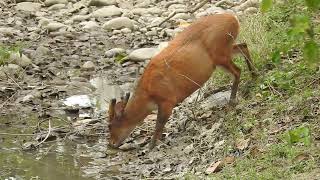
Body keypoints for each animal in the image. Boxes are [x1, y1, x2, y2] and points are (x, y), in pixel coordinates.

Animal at [107, 13, 258, 149]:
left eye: (110, 125)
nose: (111, 144)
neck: (148, 93)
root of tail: (233, 18)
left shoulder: (168, 99)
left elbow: (159, 123)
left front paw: (151, 146)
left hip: (219, 53)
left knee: (237, 70)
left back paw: (232, 101)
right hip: (225, 50)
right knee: (243, 46)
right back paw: (254, 75)